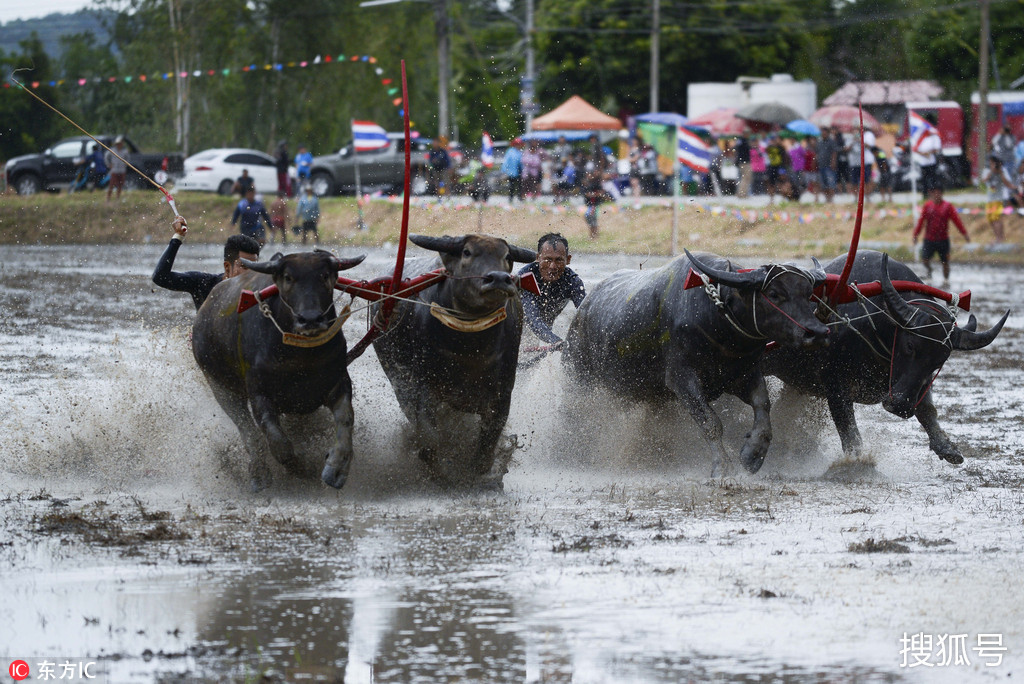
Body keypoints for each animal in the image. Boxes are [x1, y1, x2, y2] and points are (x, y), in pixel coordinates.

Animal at [193, 248, 366, 489]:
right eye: (288, 277)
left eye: (324, 275)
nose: (310, 319)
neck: (301, 355)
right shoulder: (259, 394)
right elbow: (277, 440)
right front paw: (303, 467)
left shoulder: (338, 382)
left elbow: (346, 420)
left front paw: (336, 470)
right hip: (221, 387)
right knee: (247, 430)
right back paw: (259, 474)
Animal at [374, 235, 536, 485]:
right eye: (467, 252)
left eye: (507, 256)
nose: (499, 279)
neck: (470, 348)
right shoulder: (425, 388)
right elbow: (430, 435)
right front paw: (440, 469)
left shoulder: (503, 394)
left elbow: (489, 438)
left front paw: (481, 470)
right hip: (398, 380)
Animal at [561, 250, 831, 475]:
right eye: (774, 294)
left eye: (808, 294)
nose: (817, 332)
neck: (717, 320)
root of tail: (582, 313)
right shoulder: (683, 379)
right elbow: (710, 422)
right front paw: (722, 466)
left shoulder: (745, 373)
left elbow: (763, 407)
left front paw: (753, 454)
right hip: (579, 380)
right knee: (575, 415)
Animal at [761, 250, 1007, 464]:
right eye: (910, 345)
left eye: (940, 360)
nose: (900, 405)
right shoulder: (835, 384)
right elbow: (848, 428)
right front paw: (858, 460)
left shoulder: (918, 383)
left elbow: (928, 410)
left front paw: (948, 448)